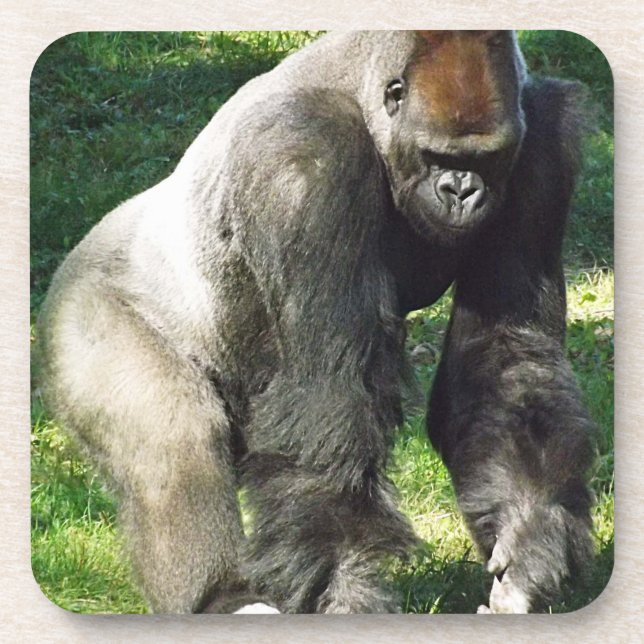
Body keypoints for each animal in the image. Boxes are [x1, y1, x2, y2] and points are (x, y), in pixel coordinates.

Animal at [36, 31, 595, 614]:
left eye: (488, 158)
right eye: (435, 155)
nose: (462, 191)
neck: (367, 98)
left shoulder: (543, 145)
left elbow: (505, 357)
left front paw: (528, 534)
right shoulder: (308, 158)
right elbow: (329, 393)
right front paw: (344, 586)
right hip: (82, 317)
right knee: (172, 439)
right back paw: (223, 597)